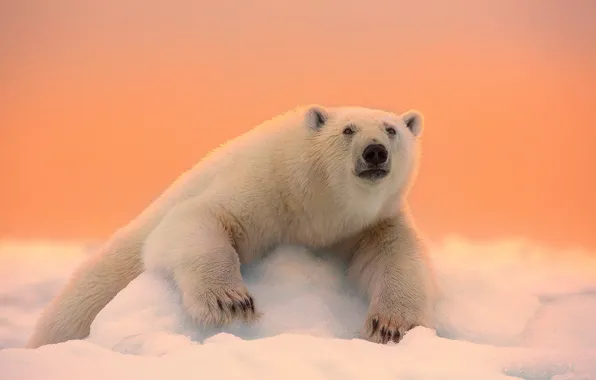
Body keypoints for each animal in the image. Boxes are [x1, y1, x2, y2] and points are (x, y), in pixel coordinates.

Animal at [26, 104, 438, 348]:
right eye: (348, 130)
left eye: (391, 129)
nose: (375, 152)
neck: (319, 204)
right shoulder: (267, 186)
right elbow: (199, 219)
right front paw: (231, 303)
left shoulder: (370, 224)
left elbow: (396, 257)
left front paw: (389, 326)